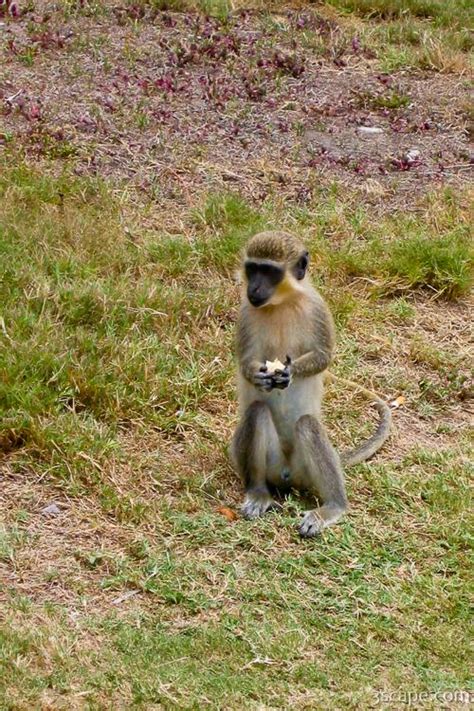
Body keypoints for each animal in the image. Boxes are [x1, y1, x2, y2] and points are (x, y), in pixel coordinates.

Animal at [231, 231, 390, 536]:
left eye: (270, 271)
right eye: (253, 269)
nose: (253, 288)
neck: (280, 303)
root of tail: (286, 473)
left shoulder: (318, 308)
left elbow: (324, 356)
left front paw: (290, 372)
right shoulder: (245, 311)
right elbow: (244, 363)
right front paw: (257, 375)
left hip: (304, 470)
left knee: (308, 425)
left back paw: (334, 506)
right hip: (266, 464)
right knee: (257, 411)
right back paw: (258, 493)